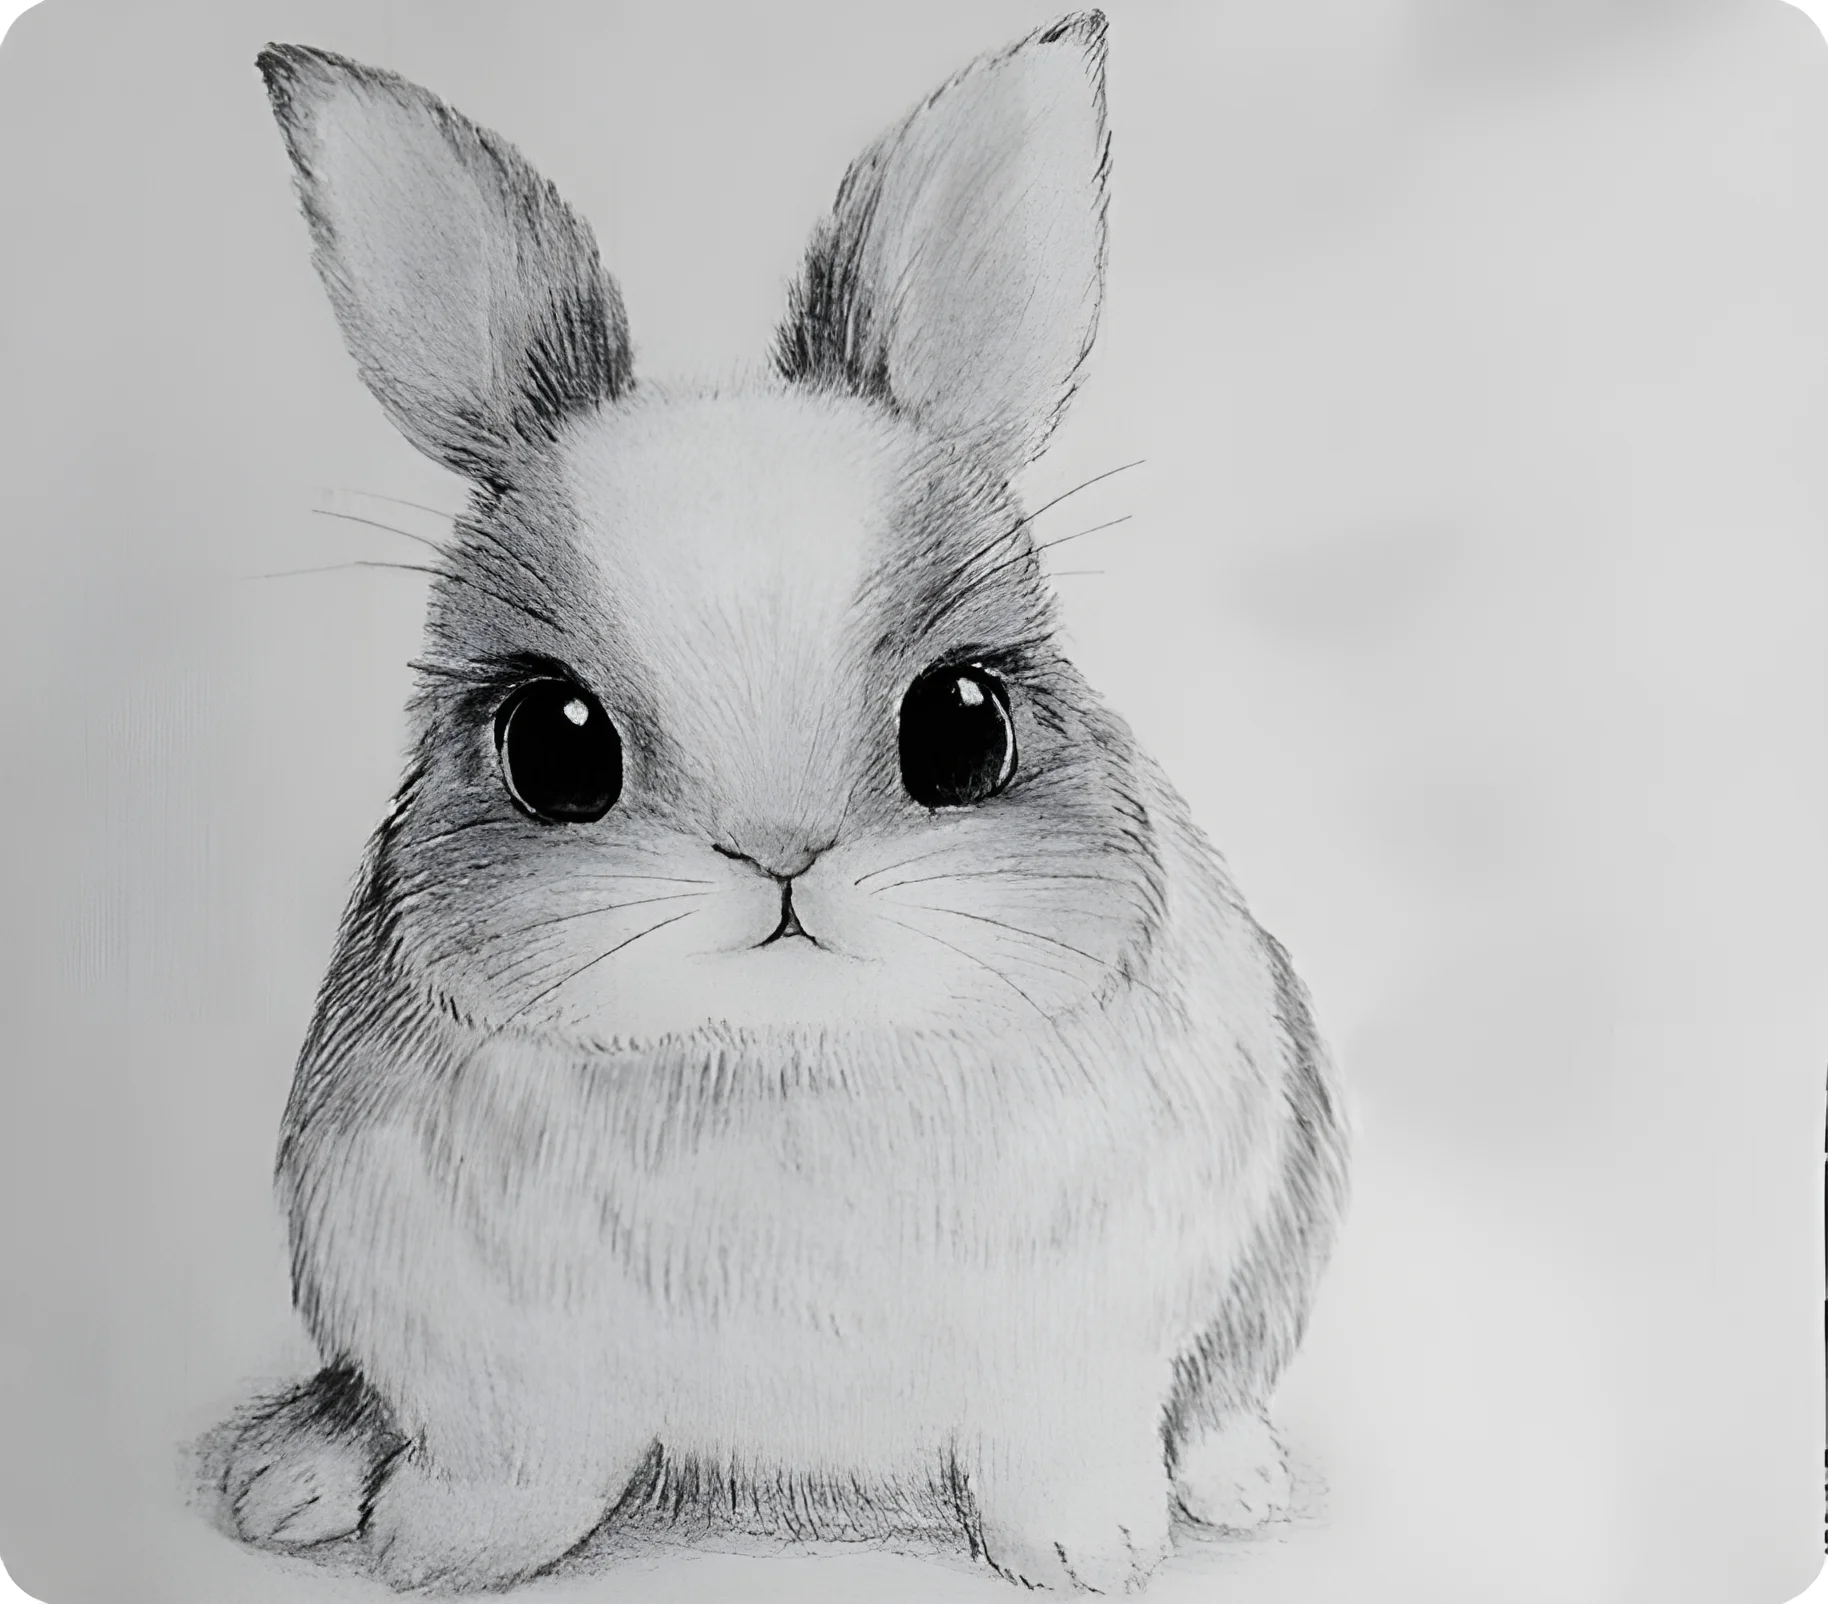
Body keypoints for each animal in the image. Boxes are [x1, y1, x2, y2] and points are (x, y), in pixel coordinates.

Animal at [221, 12, 1350, 1595]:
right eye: (550, 748)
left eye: (963, 726)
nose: (780, 855)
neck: (779, 1059)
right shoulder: (489, 1360)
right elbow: (510, 1465)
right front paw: (442, 1551)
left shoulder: (1083, 1346)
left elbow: (1057, 1449)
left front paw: (1088, 1552)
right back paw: (297, 1474)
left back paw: (1234, 1481)